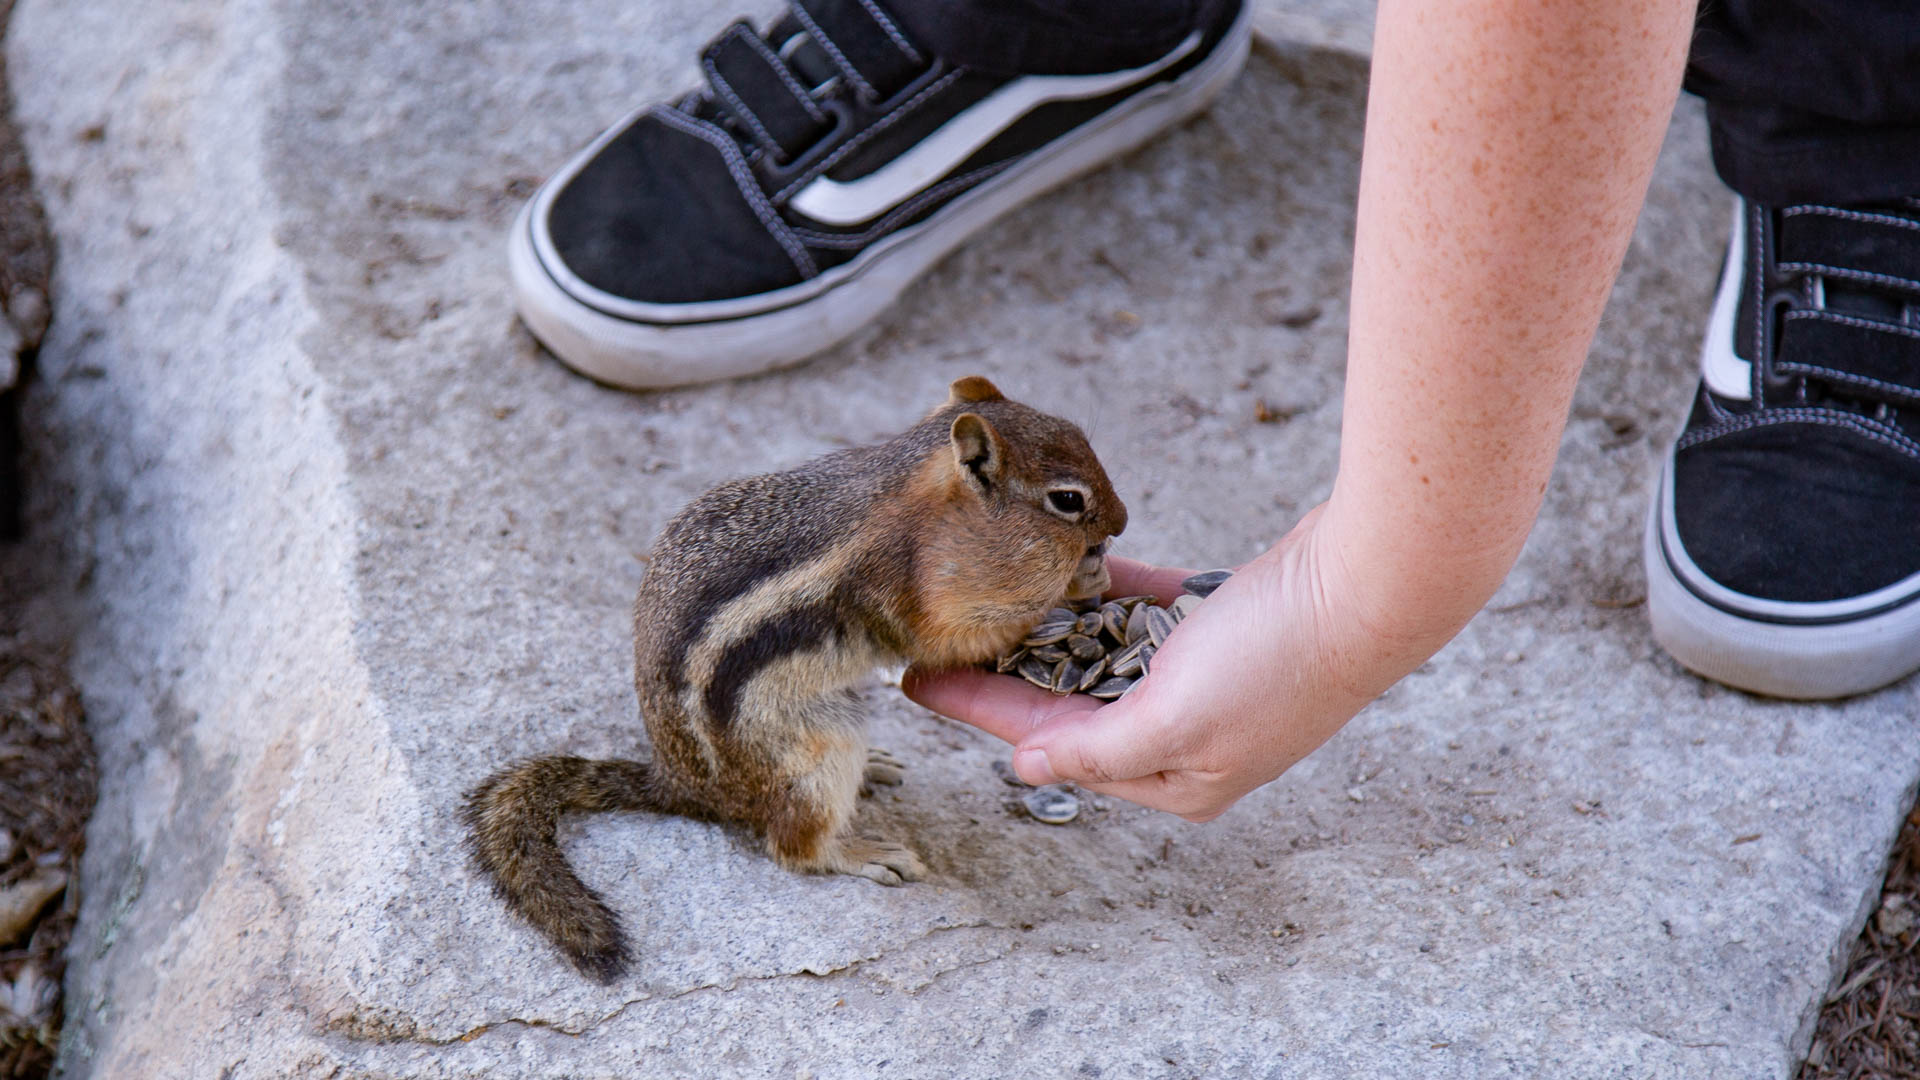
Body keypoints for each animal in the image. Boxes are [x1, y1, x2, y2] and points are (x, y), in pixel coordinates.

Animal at [464, 374, 1121, 980]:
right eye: (1067, 499)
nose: (1122, 520)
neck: (923, 505)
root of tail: (684, 786)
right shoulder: (906, 591)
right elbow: (947, 643)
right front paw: (1078, 585)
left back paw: (875, 768)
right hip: (814, 747)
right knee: (793, 848)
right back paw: (859, 850)